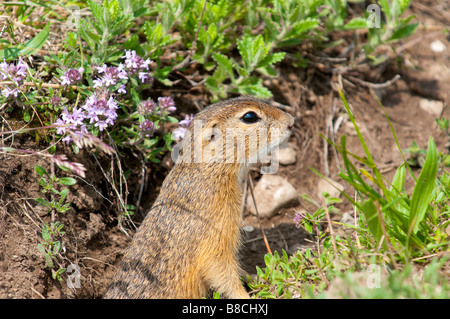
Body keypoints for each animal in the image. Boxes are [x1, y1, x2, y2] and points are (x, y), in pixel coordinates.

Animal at [105, 96, 296, 298]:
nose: (291, 121)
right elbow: (222, 274)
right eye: (249, 117)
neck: (210, 171)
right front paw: (246, 294)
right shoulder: (215, 238)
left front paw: (257, 276)